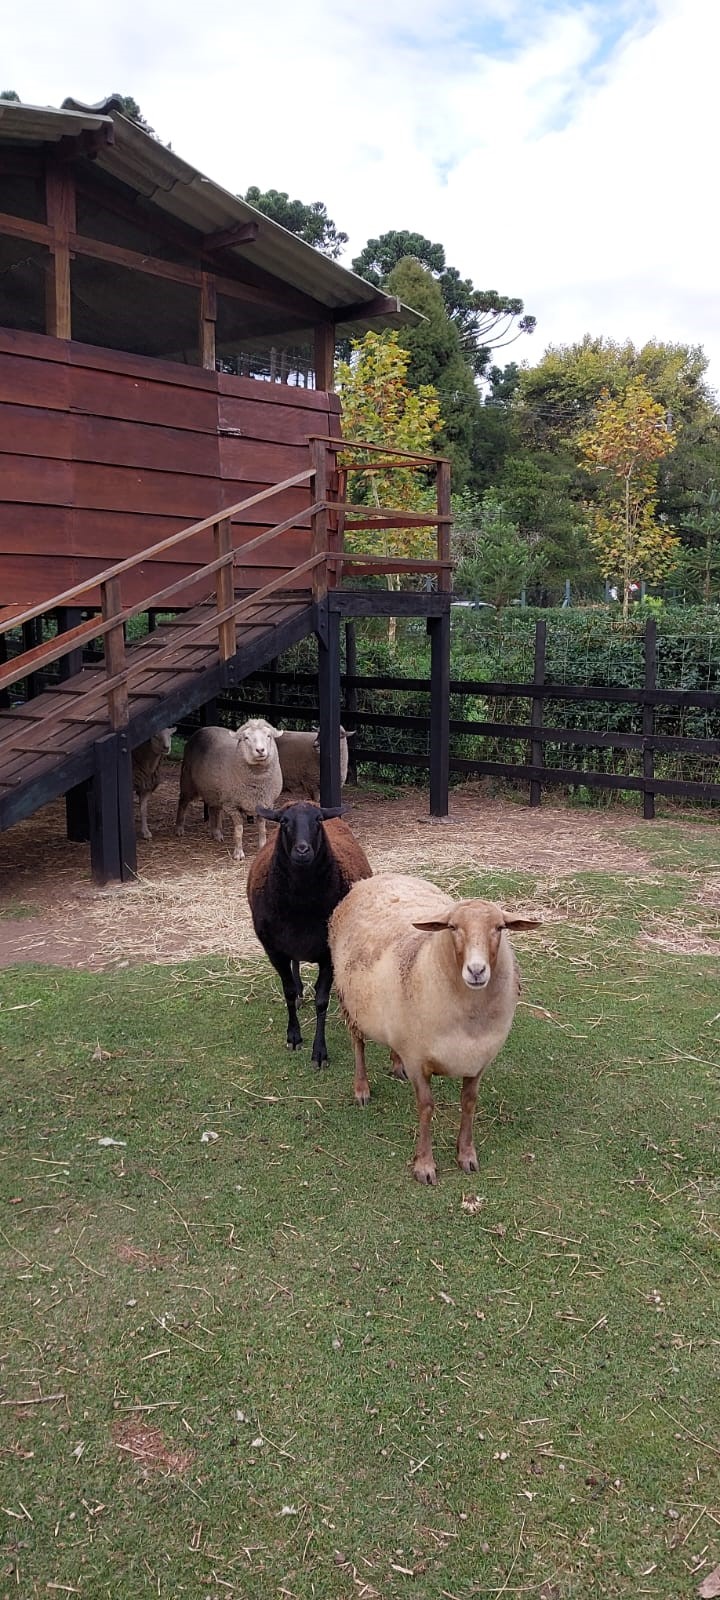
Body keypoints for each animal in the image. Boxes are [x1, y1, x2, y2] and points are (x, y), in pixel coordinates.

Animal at [174, 716, 284, 857]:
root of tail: (204, 728)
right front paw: (238, 853)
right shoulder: (232, 805)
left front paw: (262, 847)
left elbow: (262, 829)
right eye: (246, 738)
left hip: (213, 790)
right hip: (187, 780)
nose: (260, 750)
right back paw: (179, 829)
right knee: (183, 803)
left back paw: (216, 833)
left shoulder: (265, 803)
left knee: (213, 809)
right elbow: (239, 830)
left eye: (268, 736)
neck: (257, 783)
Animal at [246, 806, 371, 1068]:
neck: (301, 906)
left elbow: (321, 1001)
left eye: (318, 820)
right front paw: (293, 1036)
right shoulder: (275, 950)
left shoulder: (329, 954)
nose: (302, 849)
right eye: (284, 821)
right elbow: (288, 991)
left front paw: (319, 1052)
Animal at [328, 876, 540, 1190]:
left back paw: (396, 1064)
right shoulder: (419, 1060)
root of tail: (373, 879)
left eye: (500, 928)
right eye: (453, 927)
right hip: (349, 1001)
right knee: (358, 1044)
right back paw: (361, 1088)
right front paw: (424, 1165)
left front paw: (466, 1154)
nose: (476, 971)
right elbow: (426, 1108)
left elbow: (469, 1103)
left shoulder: (478, 1061)